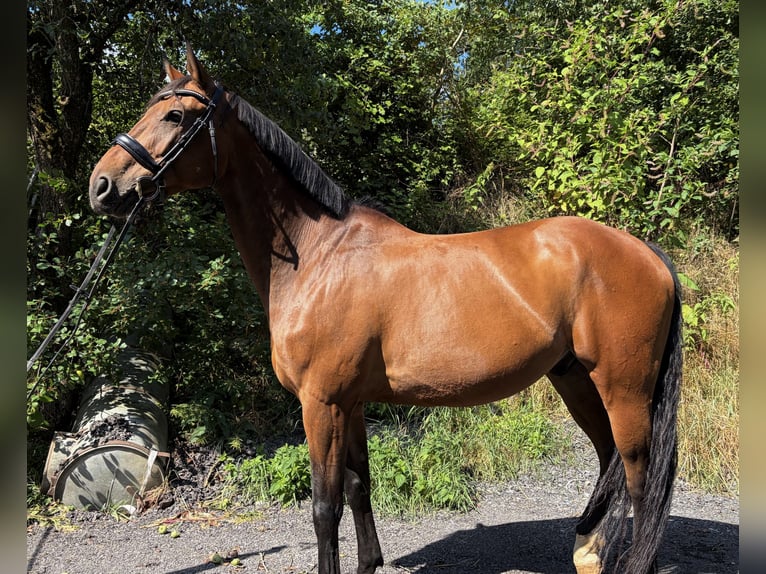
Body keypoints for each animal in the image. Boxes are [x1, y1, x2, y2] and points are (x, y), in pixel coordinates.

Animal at [89, 45, 682, 574]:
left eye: (174, 114)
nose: (101, 185)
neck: (319, 257)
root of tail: (645, 252)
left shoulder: (321, 403)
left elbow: (323, 507)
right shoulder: (348, 404)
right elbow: (358, 486)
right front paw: (369, 561)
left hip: (623, 388)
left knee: (639, 478)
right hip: (575, 378)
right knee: (608, 460)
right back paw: (589, 552)